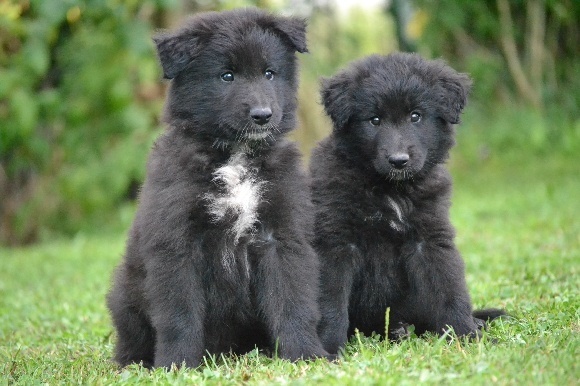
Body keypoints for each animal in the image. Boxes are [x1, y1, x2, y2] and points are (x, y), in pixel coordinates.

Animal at [106, 8, 328, 368]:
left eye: (269, 73)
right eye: (227, 76)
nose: (263, 115)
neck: (235, 156)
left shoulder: (282, 234)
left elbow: (293, 302)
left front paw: (306, 355)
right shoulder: (176, 242)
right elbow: (179, 314)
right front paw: (176, 364)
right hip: (125, 294)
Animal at [310, 52, 506, 354]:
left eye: (416, 116)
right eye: (374, 120)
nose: (398, 160)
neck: (391, 190)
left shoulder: (430, 239)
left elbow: (450, 290)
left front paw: (467, 336)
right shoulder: (336, 242)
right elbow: (331, 301)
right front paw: (329, 349)